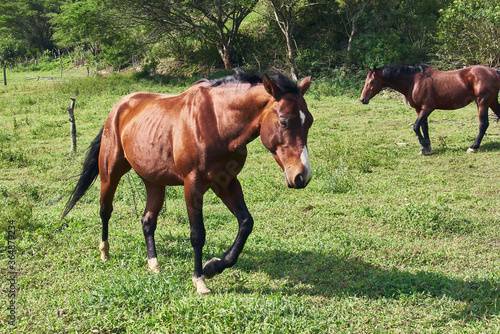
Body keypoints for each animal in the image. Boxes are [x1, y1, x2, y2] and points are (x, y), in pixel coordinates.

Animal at [60, 69, 312, 294]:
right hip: (110, 173)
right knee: (105, 210)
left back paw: (153, 264)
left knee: (148, 221)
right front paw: (199, 280)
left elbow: (246, 223)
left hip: (154, 182)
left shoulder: (226, 182)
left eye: (308, 121)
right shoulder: (193, 185)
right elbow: (197, 234)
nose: (302, 176)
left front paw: (213, 267)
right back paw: (105, 251)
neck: (217, 122)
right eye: (283, 121)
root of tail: (119, 107)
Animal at [360, 64, 500, 154]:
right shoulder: (419, 109)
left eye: (371, 82)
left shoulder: (427, 108)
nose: (362, 99)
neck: (415, 81)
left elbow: (416, 126)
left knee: (483, 124)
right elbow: (424, 127)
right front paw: (426, 147)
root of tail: (494, 71)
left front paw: (424, 145)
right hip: (492, 102)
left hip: (482, 102)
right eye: (366, 80)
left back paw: (473, 147)